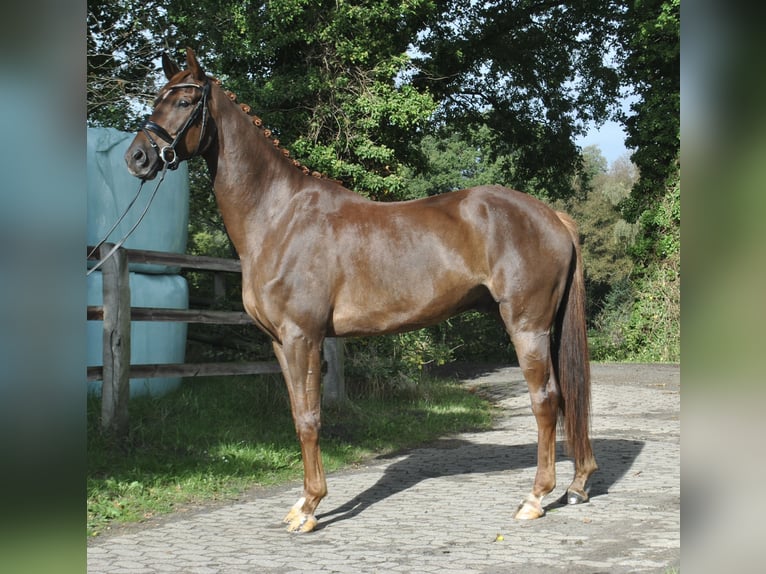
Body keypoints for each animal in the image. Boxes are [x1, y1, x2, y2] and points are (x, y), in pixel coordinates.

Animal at [124, 49, 600, 536]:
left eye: (184, 101)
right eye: (157, 98)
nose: (137, 157)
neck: (278, 217)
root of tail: (553, 217)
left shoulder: (302, 337)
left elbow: (310, 419)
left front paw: (311, 508)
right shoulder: (279, 342)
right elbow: (297, 414)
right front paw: (302, 502)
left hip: (527, 327)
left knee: (546, 401)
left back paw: (535, 498)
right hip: (546, 329)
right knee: (567, 399)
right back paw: (577, 485)